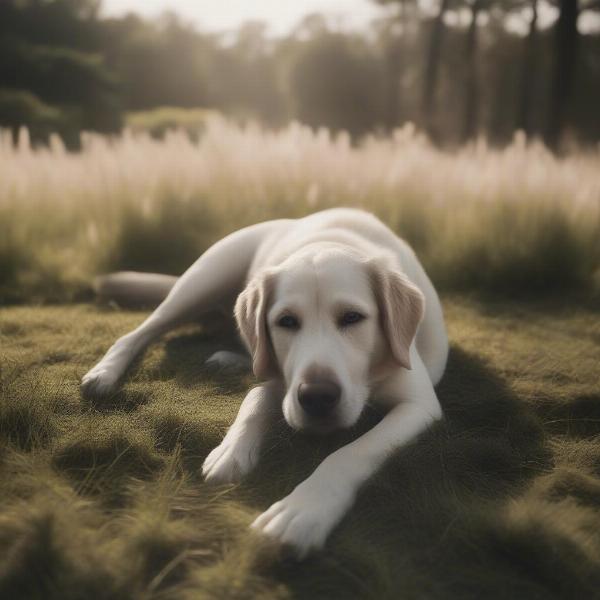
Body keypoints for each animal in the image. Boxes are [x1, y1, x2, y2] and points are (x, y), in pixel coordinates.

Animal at [82, 210, 448, 556]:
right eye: (286, 322)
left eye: (352, 318)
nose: (317, 397)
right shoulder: (278, 382)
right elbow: (254, 400)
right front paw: (231, 450)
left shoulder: (417, 406)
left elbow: (352, 452)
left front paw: (303, 509)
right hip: (201, 281)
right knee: (139, 332)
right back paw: (105, 372)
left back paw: (228, 359)